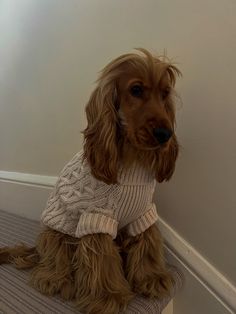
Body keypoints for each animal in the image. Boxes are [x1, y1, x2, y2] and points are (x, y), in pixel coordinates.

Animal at [0, 49, 181, 314]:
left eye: (165, 93)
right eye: (136, 90)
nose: (165, 134)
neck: (132, 160)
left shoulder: (143, 213)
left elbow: (147, 242)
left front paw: (151, 278)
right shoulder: (96, 218)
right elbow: (101, 258)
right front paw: (109, 297)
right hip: (55, 232)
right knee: (50, 263)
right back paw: (58, 281)